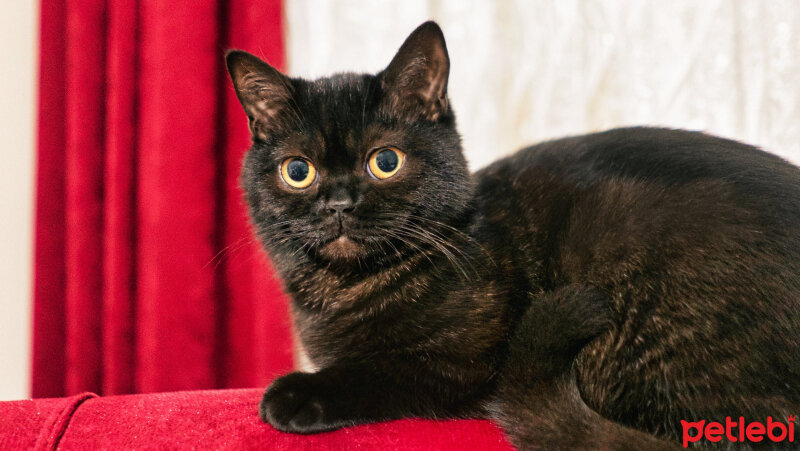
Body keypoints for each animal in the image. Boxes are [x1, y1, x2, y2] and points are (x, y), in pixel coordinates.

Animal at [225, 20, 800, 448]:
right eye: (298, 171)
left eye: (385, 161)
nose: (339, 204)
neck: (344, 291)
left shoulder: (466, 363)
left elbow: (383, 369)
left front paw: (296, 395)